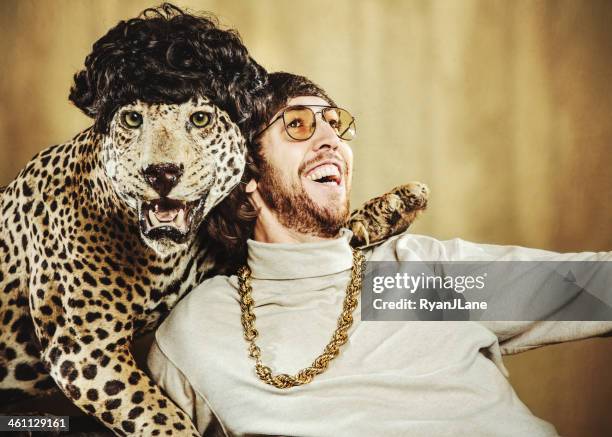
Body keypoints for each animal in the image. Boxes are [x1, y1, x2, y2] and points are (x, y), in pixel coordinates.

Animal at [0, 3, 428, 436]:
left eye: (201, 119)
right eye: (133, 120)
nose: (162, 173)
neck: (160, 261)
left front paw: (393, 205)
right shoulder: (83, 349)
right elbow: (162, 416)